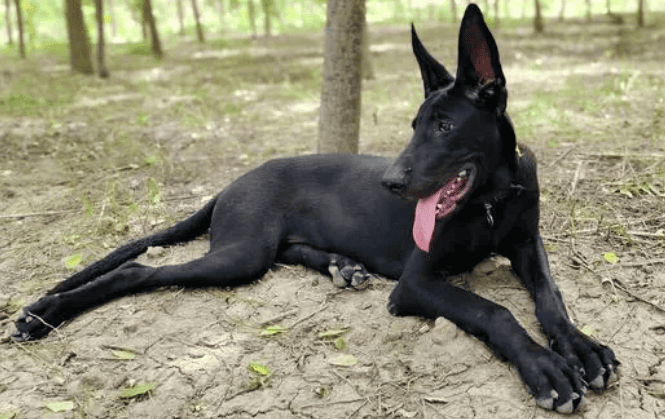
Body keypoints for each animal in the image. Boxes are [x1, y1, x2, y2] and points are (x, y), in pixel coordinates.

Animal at [14, 4, 616, 414]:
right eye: (413, 126)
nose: (390, 181)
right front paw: (546, 367)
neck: (490, 199)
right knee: (140, 268)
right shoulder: (416, 281)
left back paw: (340, 266)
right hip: (241, 253)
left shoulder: (527, 245)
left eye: (444, 126)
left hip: (256, 250)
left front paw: (582, 348)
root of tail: (232, 183)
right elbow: (494, 311)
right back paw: (43, 315)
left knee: (289, 252)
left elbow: (551, 299)